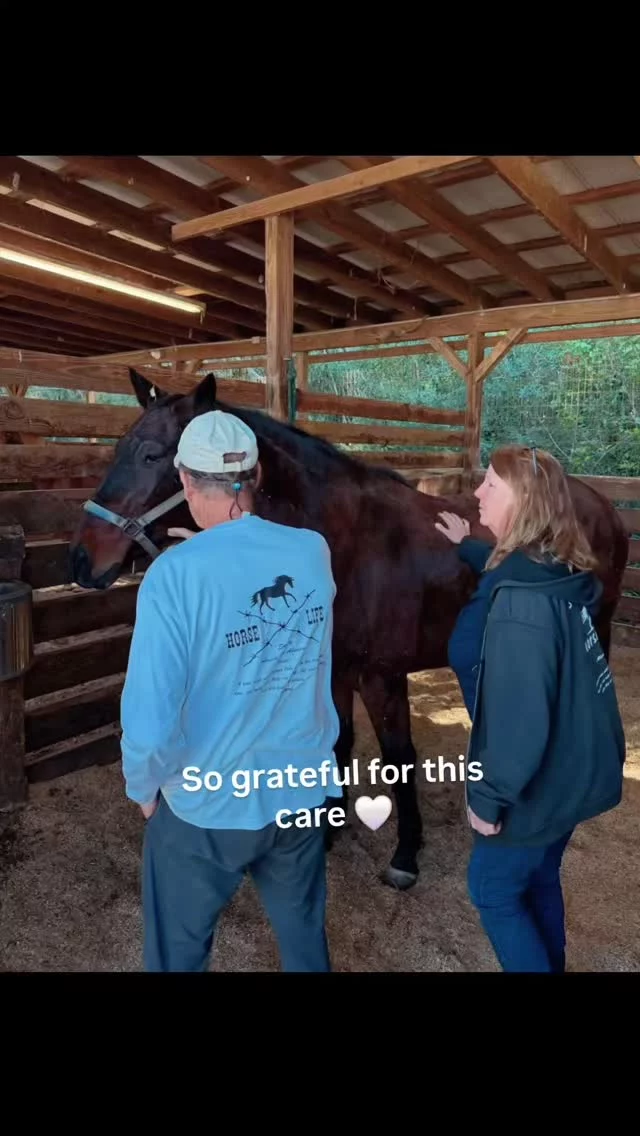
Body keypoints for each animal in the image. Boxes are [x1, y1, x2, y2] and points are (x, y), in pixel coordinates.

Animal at [69, 368, 630, 891]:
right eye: (118, 449)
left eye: (152, 456)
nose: (80, 560)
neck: (349, 542)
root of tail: (599, 503)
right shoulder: (336, 669)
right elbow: (339, 744)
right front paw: (329, 829)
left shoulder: (382, 677)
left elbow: (399, 759)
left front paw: (405, 855)